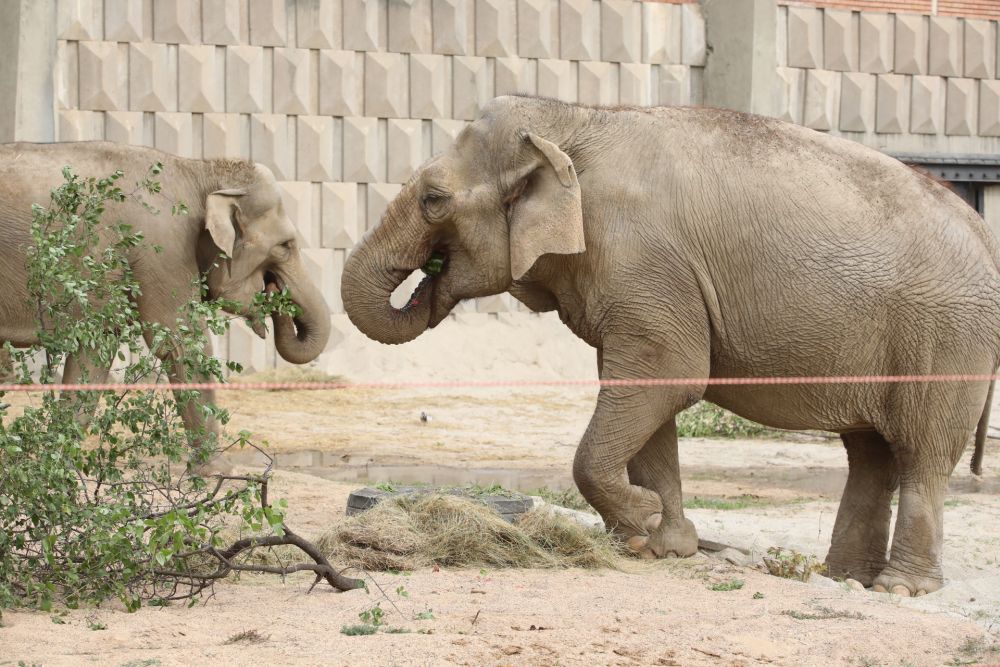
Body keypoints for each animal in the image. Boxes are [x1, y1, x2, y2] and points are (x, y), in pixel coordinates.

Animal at [0, 140, 330, 454]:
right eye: (286, 245)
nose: (275, 291)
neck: (199, 170)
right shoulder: (163, 249)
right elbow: (182, 344)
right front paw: (217, 470)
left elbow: (95, 352)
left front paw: (62, 457)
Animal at [342, 94, 1000, 596]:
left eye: (433, 199)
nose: (428, 281)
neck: (573, 119)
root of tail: (985, 232)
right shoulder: (632, 283)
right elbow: (646, 390)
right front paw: (664, 544)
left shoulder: (643, 263)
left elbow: (667, 376)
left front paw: (645, 521)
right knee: (870, 453)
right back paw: (846, 579)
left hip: (947, 339)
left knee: (921, 452)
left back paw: (900, 589)